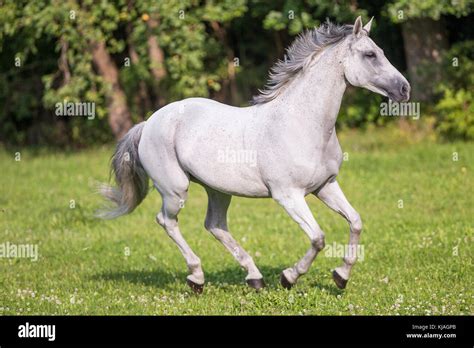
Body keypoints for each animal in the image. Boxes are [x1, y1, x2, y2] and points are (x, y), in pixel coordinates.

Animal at [98, 17, 410, 294]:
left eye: (381, 52)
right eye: (370, 54)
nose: (404, 89)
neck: (303, 124)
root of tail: (149, 122)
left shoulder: (325, 187)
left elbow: (355, 222)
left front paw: (341, 277)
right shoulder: (288, 195)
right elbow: (318, 238)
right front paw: (289, 277)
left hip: (218, 190)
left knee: (215, 225)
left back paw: (254, 278)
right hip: (175, 190)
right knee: (167, 222)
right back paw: (197, 278)